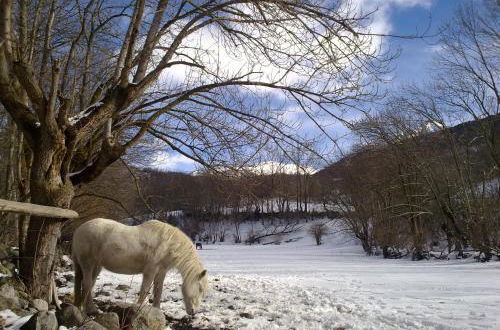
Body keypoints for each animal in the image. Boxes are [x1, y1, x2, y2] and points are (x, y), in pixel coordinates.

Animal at [71, 218, 208, 316]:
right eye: (200, 289)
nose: (194, 312)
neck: (168, 244)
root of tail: (78, 230)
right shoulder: (150, 271)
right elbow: (145, 290)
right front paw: (138, 310)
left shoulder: (161, 272)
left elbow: (158, 291)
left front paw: (157, 310)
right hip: (87, 264)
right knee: (87, 284)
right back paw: (87, 311)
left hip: (97, 266)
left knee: (90, 284)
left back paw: (88, 308)